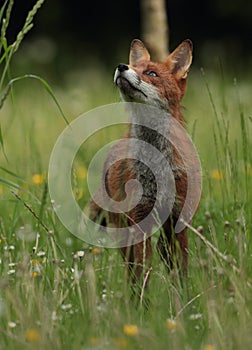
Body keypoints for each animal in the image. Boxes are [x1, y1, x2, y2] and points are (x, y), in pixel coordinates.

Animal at [89, 37, 198, 290]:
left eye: (151, 73)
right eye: (134, 66)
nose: (121, 66)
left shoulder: (178, 218)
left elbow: (182, 267)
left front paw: (184, 295)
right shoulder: (139, 219)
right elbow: (141, 271)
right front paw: (142, 300)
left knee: (164, 254)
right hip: (123, 230)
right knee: (131, 265)